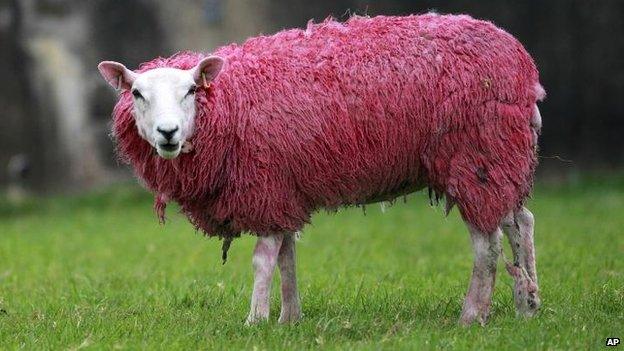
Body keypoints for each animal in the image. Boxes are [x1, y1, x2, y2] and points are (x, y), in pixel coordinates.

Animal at [96, 13, 540, 328]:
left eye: (190, 90)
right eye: (138, 94)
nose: (168, 133)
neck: (228, 103)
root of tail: (522, 63)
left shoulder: (267, 187)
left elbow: (263, 260)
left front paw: (255, 320)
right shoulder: (284, 191)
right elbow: (287, 258)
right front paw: (289, 318)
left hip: (477, 156)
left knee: (487, 245)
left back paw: (472, 316)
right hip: (503, 158)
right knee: (519, 224)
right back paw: (527, 305)